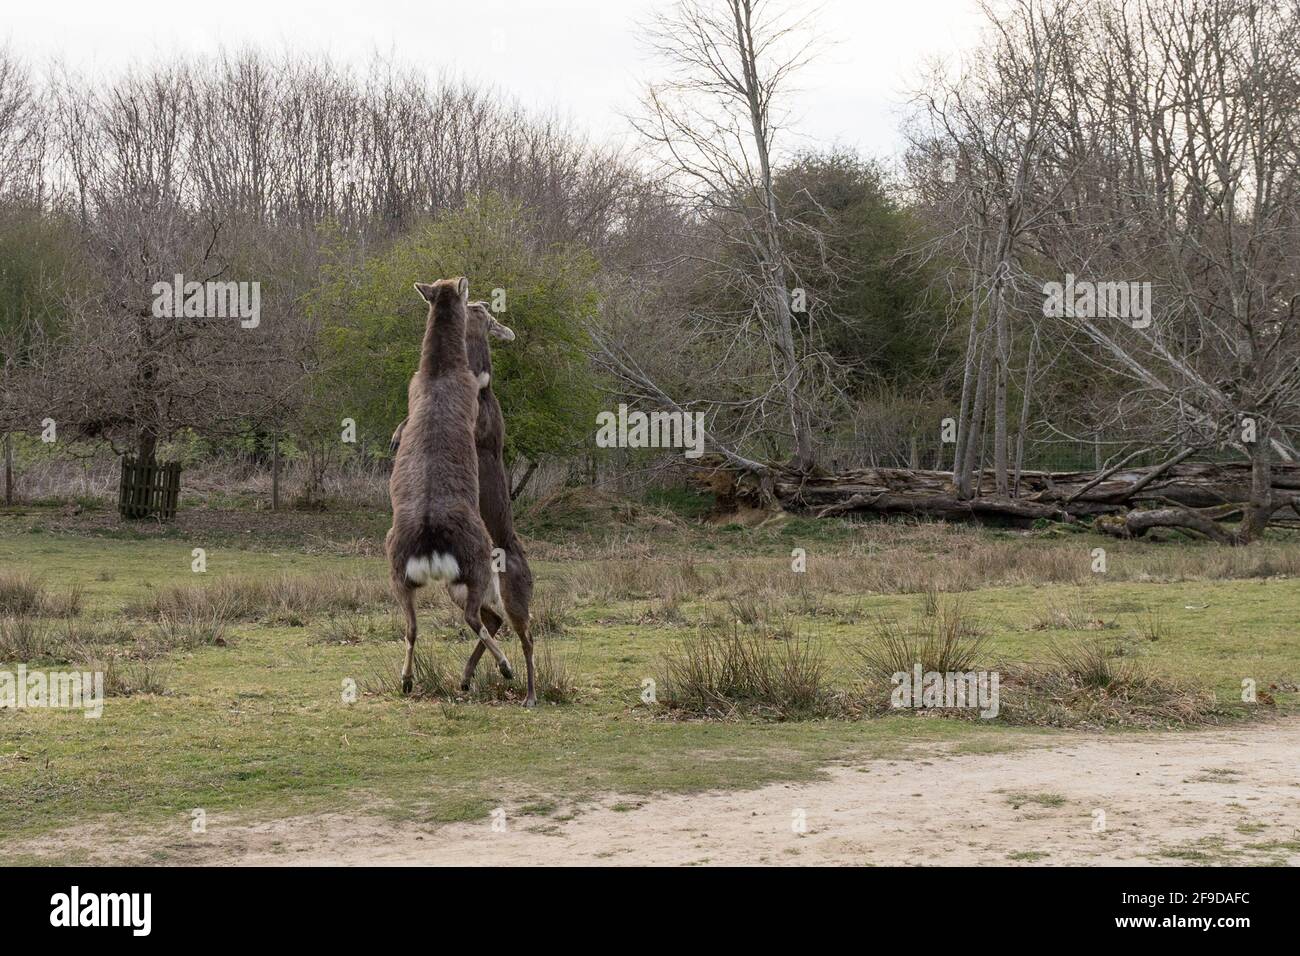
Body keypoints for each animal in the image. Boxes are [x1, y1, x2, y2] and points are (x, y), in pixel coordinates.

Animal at [382, 277, 509, 697]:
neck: (436, 372)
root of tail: (431, 543)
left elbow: (404, 420)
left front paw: (395, 438)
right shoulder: (474, 402)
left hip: (400, 572)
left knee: (411, 625)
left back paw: (407, 680)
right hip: (478, 561)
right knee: (478, 618)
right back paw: (503, 668)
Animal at [395, 303, 538, 707]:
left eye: (487, 315)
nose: (480, 306)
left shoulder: (474, 430)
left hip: (512, 595)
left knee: (527, 636)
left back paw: (528, 693)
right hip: (459, 589)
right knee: (491, 621)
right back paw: (465, 677)